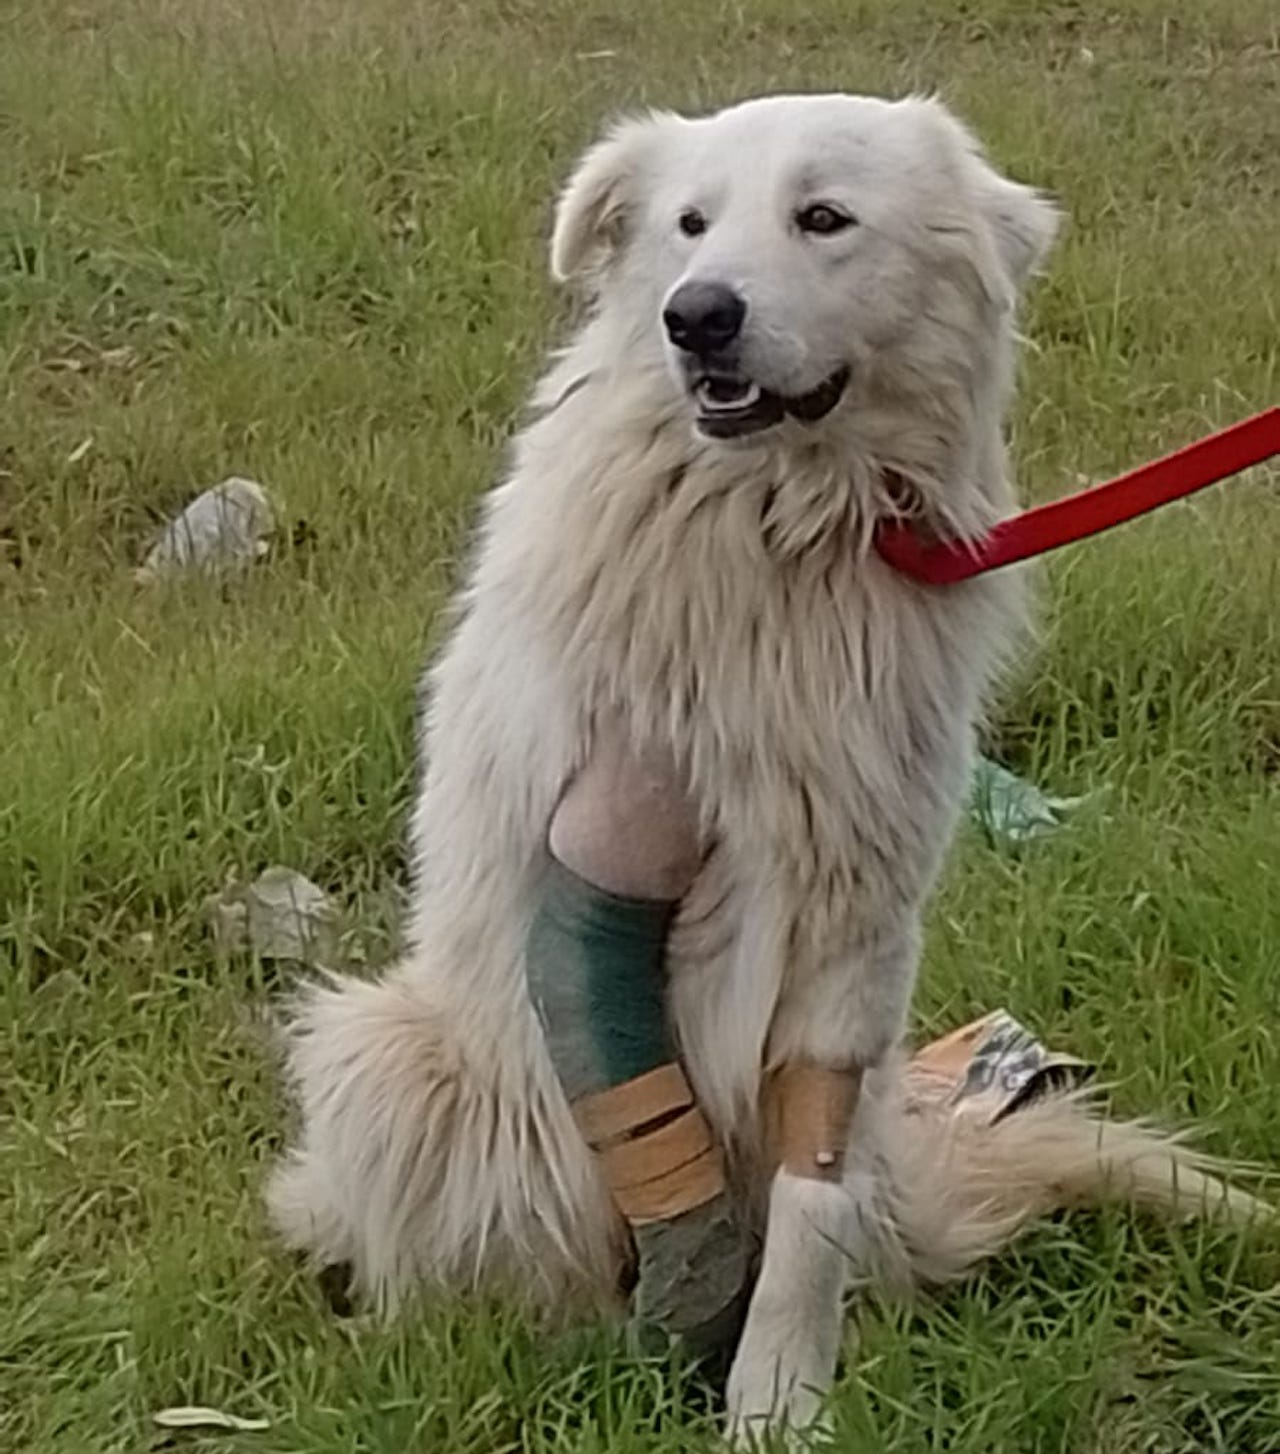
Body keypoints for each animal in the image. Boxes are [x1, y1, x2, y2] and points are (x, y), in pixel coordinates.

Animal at [267, 93, 1250, 1442]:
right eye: (688, 224)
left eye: (822, 217)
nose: (697, 315)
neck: (789, 527)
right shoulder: (614, 837)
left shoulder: (858, 920)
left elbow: (805, 1207)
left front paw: (779, 1397)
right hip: (385, 1053)